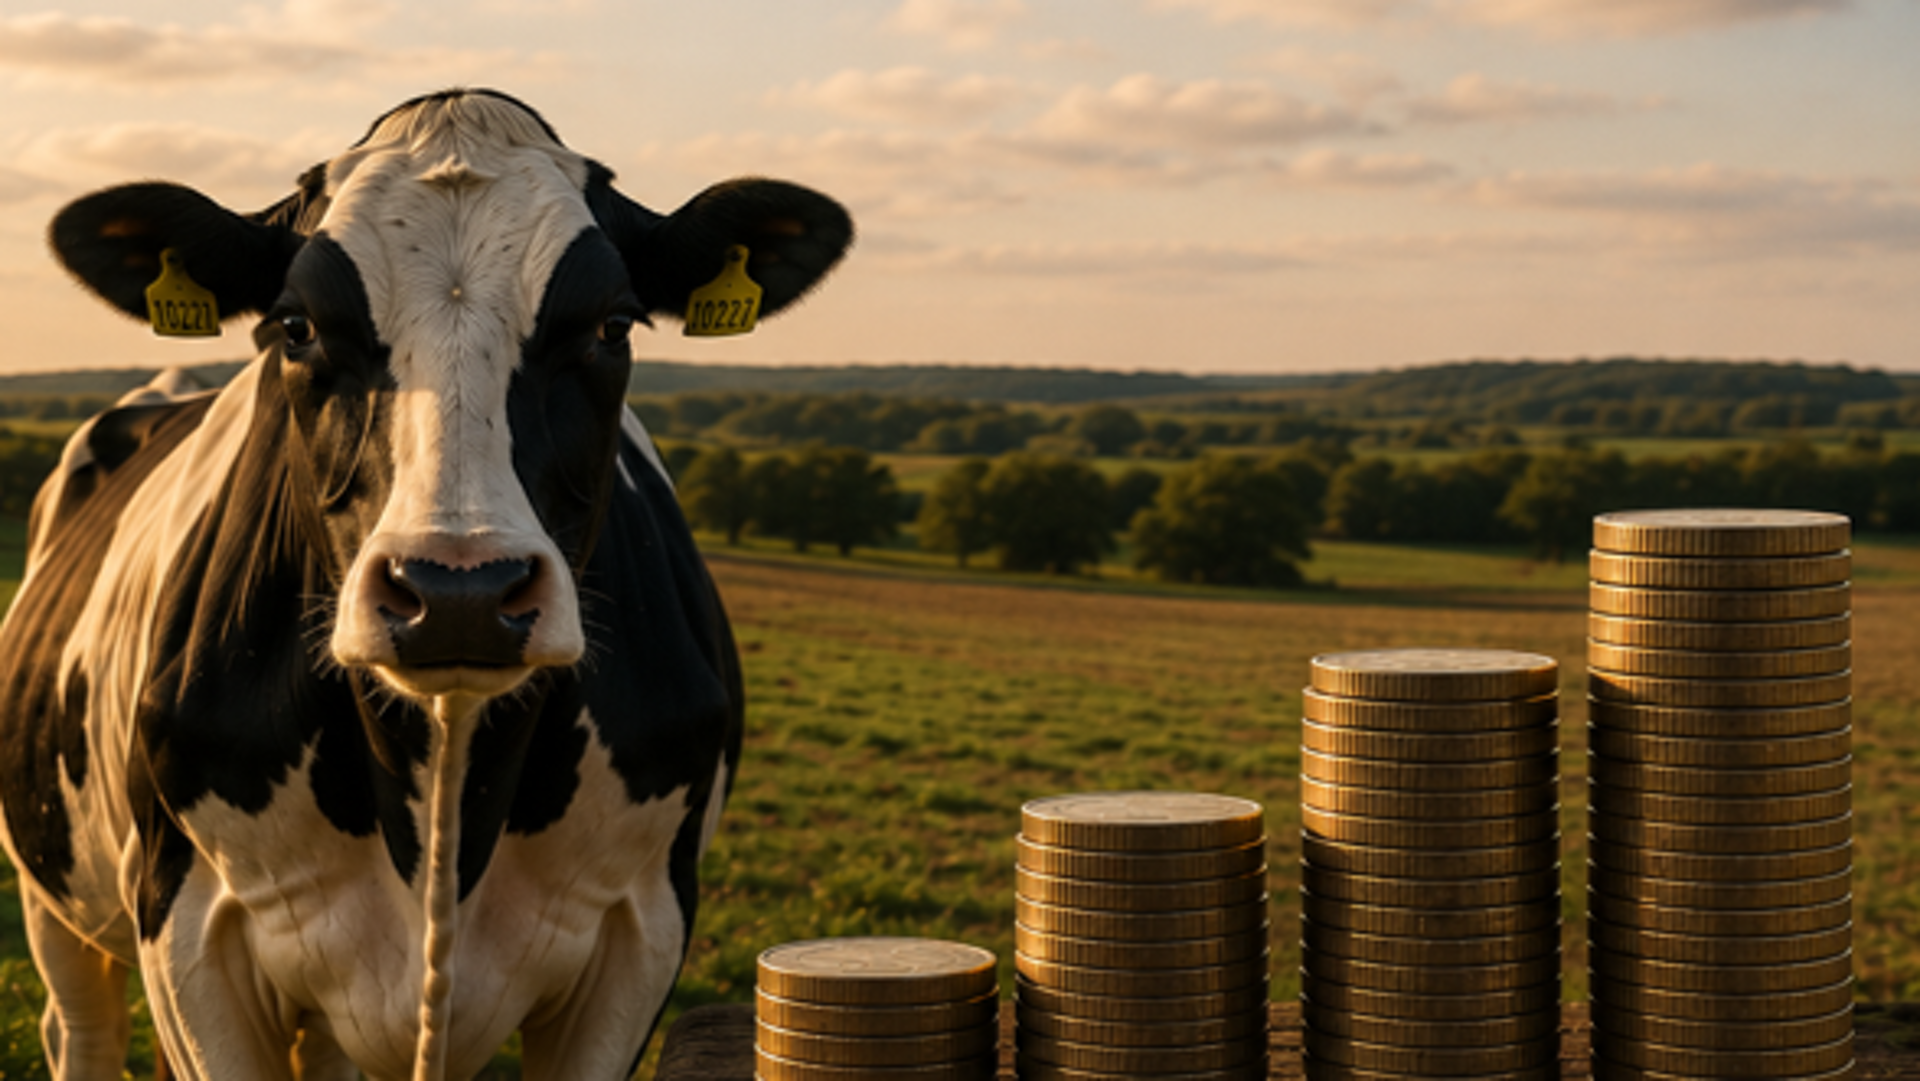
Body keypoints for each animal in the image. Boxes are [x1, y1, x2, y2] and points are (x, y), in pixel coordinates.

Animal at [0, 89, 851, 1080]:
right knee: (81, 1028)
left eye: (613, 325)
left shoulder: (641, 928)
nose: (459, 593)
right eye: (295, 325)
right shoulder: (185, 930)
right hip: (53, 890)